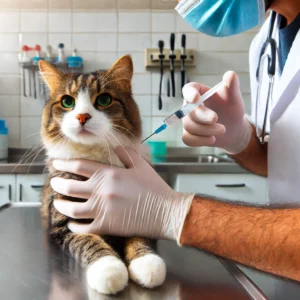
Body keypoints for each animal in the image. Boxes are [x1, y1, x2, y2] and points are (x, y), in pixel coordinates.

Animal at [38, 55, 166, 294]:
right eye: (67, 102)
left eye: (104, 99)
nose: (82, 116)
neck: (96, 161)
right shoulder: (63, 224)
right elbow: (89, 242)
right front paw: (109, 269)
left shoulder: (140, 207)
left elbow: (139, 238)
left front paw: (147, 264)